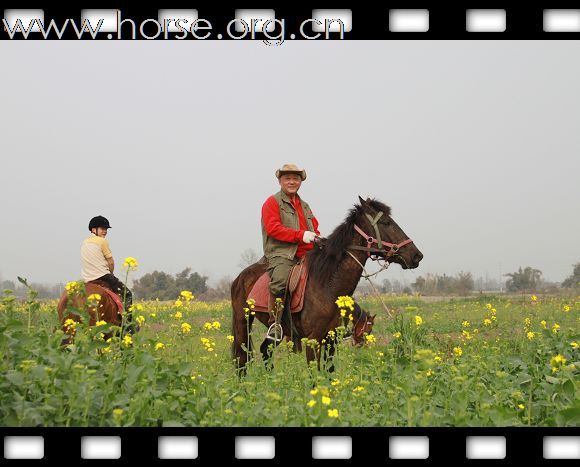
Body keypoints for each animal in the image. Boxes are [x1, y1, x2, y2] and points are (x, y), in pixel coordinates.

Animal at [229, 198, 424, 372]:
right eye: (386, 222)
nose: (416, 256)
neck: (328, 286)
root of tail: (240, 277)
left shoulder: (331, 341)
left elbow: (329, 374)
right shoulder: (313, 341)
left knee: (265, 351)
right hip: (242, 322)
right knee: (241, 359)